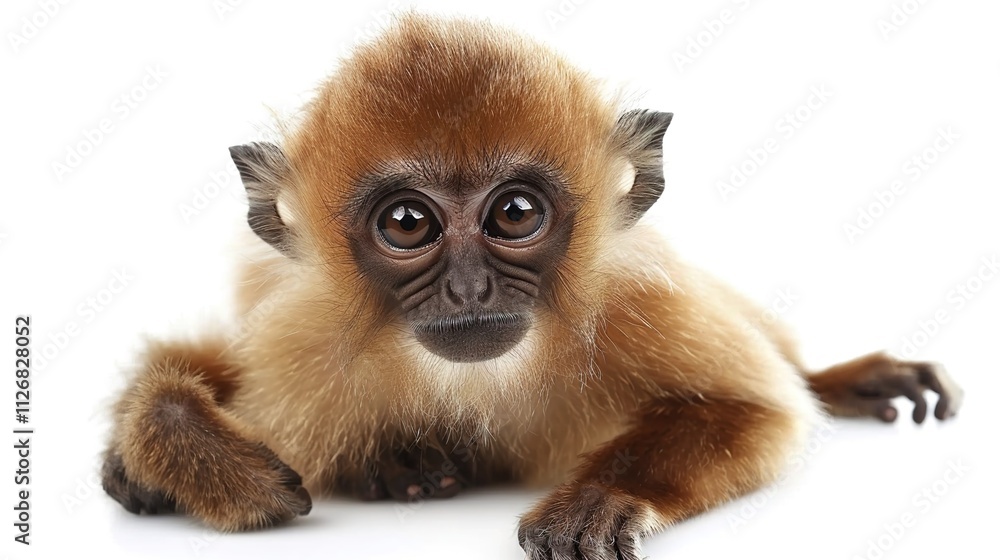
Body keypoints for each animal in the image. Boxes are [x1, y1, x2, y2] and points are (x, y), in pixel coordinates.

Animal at [100, 13, 963, 559]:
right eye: (407, 224)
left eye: (514, 214)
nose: (470, 290)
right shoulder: (302, 342)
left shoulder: (637, 302)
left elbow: (758, 412)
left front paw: (603, 496)